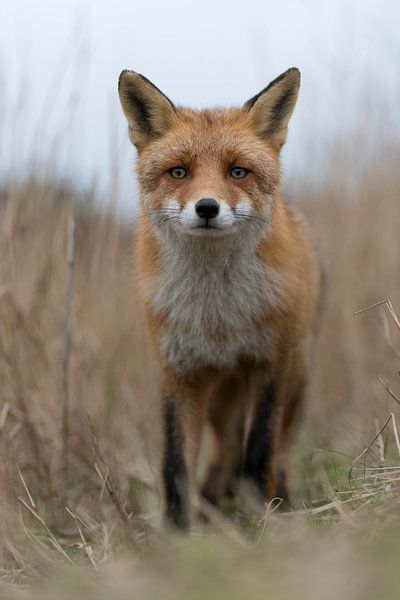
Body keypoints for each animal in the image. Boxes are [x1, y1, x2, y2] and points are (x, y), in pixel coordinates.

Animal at [118, 67, 318, 528]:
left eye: (238, 172)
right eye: (178, 172)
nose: (207, 208)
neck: (218, 314)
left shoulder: (268, 364)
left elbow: (259, 449)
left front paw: (258, 522)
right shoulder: (178, 371)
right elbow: (175, 464)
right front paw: (177, 533)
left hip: (294, 376)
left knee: (278, 450)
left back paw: (281, 503)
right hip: (219, 397)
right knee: (225, 448)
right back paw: (212, 504)